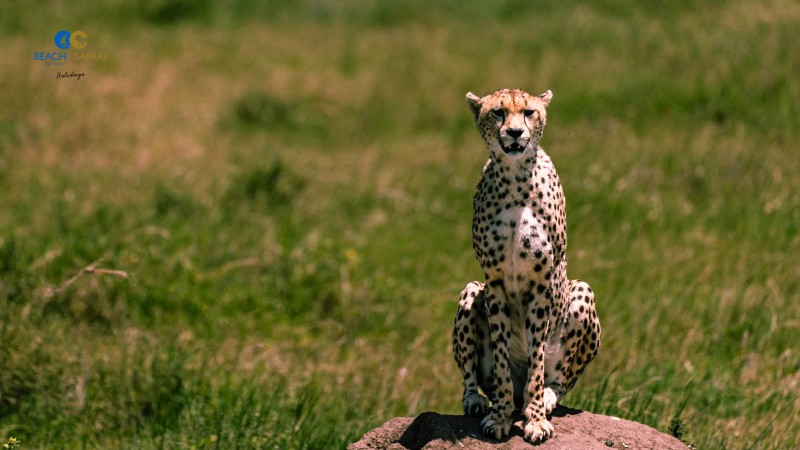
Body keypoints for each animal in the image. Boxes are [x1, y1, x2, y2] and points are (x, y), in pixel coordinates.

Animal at [452, 88, 601, 444]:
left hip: (582, 292)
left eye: (529, 112)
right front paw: (500, 416)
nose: (516, 133)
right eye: (498, 113)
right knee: (472, 377)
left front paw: (535, 421)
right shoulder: (494, 282)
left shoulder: (541, 283)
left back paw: (545, 397)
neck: (515, 179)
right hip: (471, 291)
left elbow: (536, 363)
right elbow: (502, 358)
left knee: (561, 378)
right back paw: (476, 400)